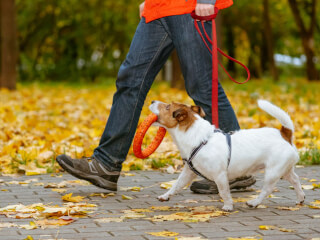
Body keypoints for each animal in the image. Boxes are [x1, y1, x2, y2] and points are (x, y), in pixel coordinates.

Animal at [149, 100, 304, 211]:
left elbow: (224, 192)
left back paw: (254, 202)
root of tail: (284, 134)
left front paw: (228, 206)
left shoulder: (220, 175)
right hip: (285, 170)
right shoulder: (188, 172)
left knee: (267, 190)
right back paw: (300, 198)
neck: (198, 138)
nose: (152, 100)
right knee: (296, 180)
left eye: (167, 107)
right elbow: (176, 185)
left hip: (273, 172)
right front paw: (165, 196)